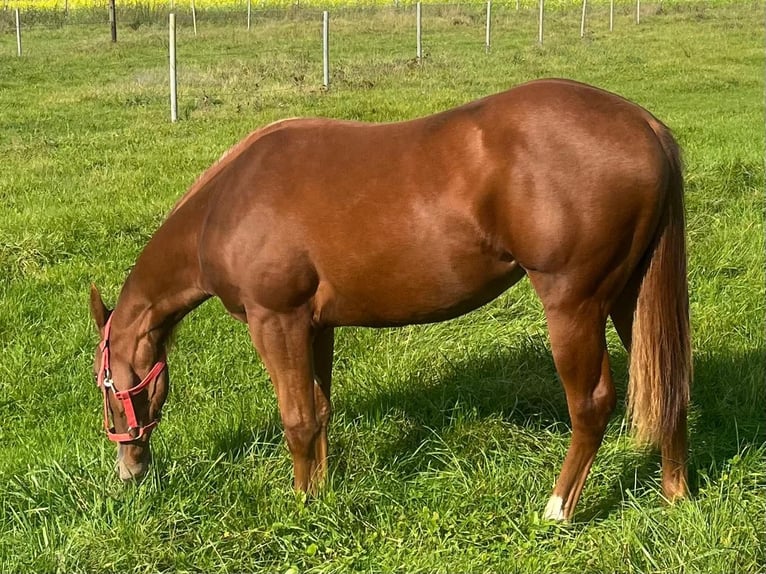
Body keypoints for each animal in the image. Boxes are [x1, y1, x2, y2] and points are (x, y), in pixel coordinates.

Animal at [89, 78, 691, 521]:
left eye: (105, 382)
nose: (128, 469)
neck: (225, 204)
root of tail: (644, 125)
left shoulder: (276, 321)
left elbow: (297, 418)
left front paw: (302, 506)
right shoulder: (315, 326)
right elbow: (320, 411)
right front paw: (322, 492)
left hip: (574, 304)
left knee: (591, 404)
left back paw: (557, 509)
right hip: (630, 297)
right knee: (669, 385)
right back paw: (675, 494)